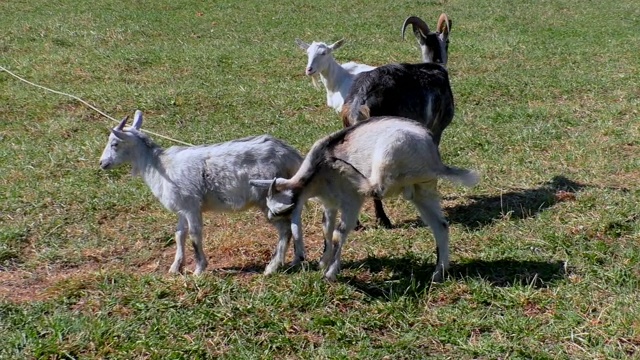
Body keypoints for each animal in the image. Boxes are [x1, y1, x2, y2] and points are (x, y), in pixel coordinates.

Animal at [99, 109, 306, 276]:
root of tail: (290, 155)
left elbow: (194, 235)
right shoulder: (182, 208)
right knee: (295, 223)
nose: (102, 163)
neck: (161, 166)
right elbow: (179, 234)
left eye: (115, 143)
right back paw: (297, 259)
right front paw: (175, 268)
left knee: (284, 228)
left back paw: (272, 267)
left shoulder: (191, 206)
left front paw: (198, 270)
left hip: (267, 197)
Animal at [250, 114, 480, 282]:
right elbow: (326, 229)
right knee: (441, 225)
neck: (318, 170)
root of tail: (434, 158)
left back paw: (344, 167)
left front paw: (330, 273)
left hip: (389, 153)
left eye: (281, 211)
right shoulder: (330, 203)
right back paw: (439, 273)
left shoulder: (350, 202)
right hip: (423, 191)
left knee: (375, 187)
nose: (272, 219)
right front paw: (323, 262)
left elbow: (339, 232)